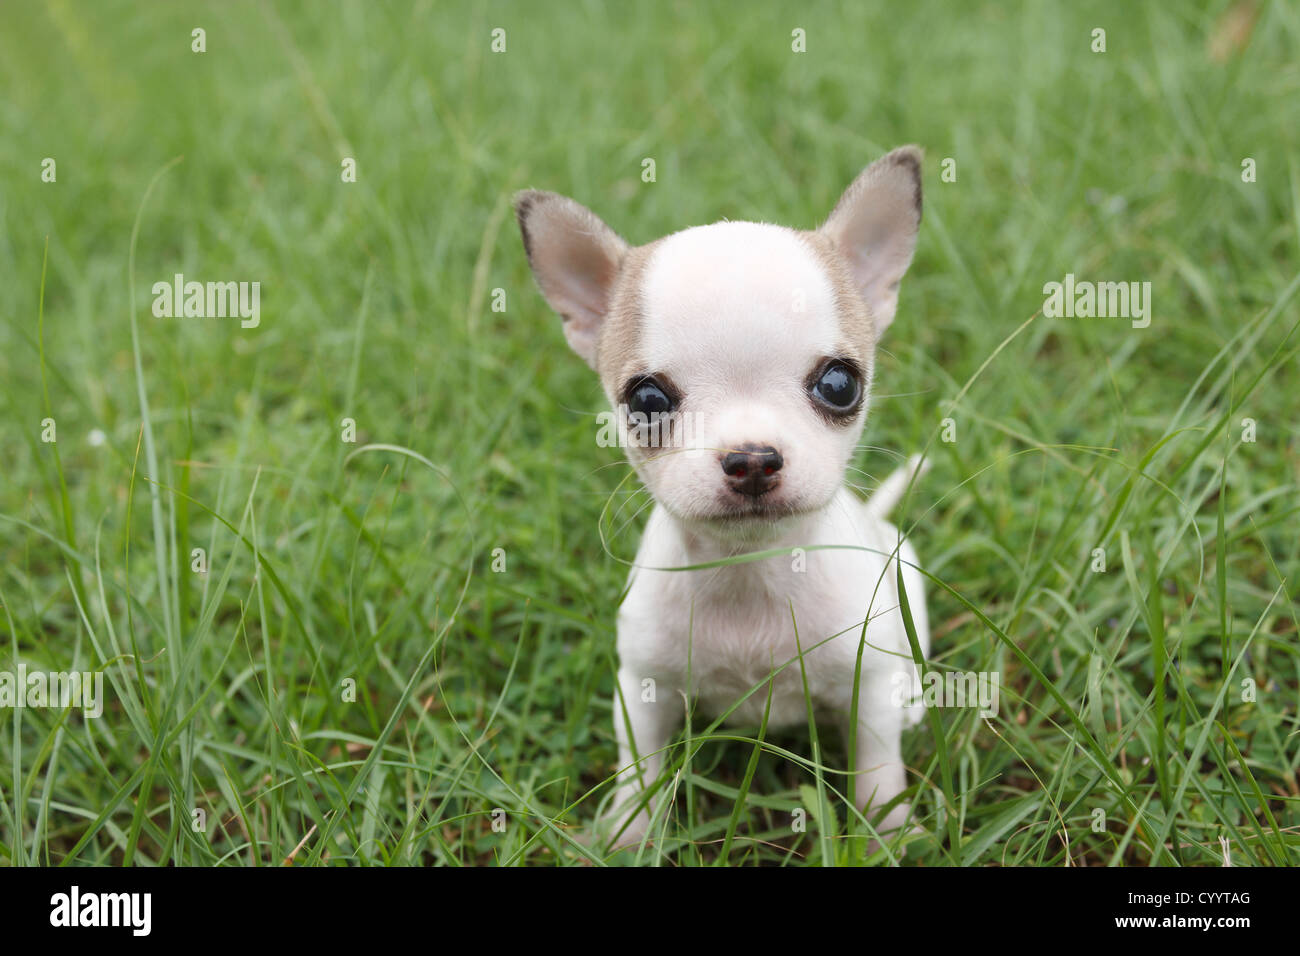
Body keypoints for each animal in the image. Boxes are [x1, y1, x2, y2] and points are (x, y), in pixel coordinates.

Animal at [512, 145, 930, 848]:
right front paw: (628, 834)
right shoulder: (643, 689)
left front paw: (886, 833)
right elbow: (641, 769)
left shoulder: (867, 683)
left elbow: (877, 766)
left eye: (840, 385)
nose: (752, 458)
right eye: (646, 401)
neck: (748, 573)